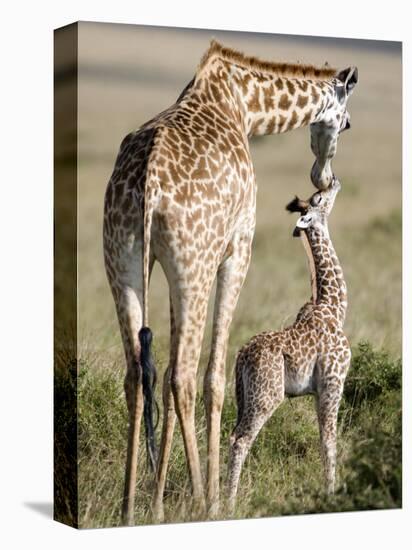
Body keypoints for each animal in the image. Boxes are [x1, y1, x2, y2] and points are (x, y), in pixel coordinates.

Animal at [229, 180, 350, 512]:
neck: (334, 307)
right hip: (266, 396)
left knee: (231, 435)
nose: (335, 181)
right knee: (241, 441)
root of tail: (241, 357)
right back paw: (225, 505)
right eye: (319, 198)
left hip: (243, 395)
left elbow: (322, 438)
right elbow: (329, 441)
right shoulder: (333, 382)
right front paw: (331, 494)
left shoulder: (318, 390)